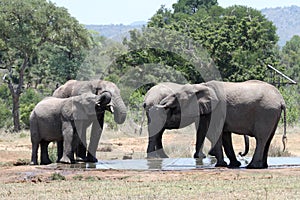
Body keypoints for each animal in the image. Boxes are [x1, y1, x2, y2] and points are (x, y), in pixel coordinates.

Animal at [143, 79, 286, 169]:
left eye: (176, 96)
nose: (161, 105)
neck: (200, 86)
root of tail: (281, 100)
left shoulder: (218, 108)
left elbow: (215, 130)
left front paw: (219, 162)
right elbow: (221, 133)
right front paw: (229, 164)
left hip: (267, 112)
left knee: (262, 138)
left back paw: (253, 166)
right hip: (271, 114)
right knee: (267, 139)